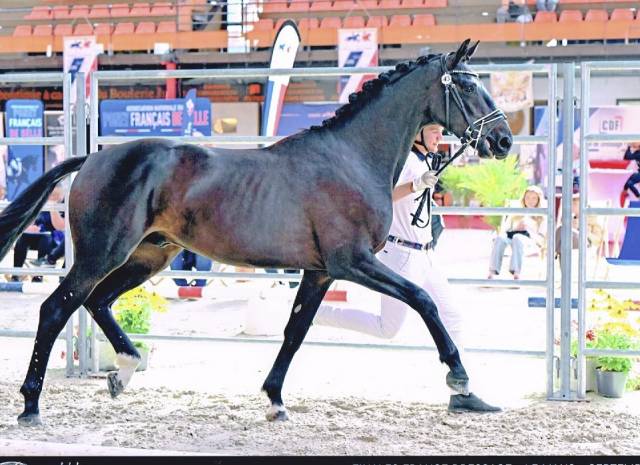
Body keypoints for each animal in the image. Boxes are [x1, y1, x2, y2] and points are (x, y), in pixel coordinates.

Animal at [0, 39, 512, 426]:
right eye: (468, 85)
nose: (503, 140)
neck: (350, 157)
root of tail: (92, 157)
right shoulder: (353, 261)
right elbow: (424, 300)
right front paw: (459, 376)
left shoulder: (321, 271)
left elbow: (295, 331)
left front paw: (275, 400)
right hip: (101, 254)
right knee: (56, 308)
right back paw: (31, 405)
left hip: (150, 256)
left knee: (98, 302)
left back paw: (123, 371)